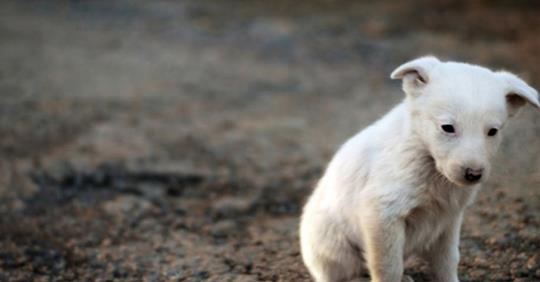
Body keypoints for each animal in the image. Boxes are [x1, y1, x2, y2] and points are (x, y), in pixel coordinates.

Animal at [300, 55, 540, 282]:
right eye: (447, 128)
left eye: (493, 131)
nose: (473, 174)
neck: (427, 160)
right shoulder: (382, 214)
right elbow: (388, 267)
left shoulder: (448, 220)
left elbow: (447, 262)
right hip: (334, 246)